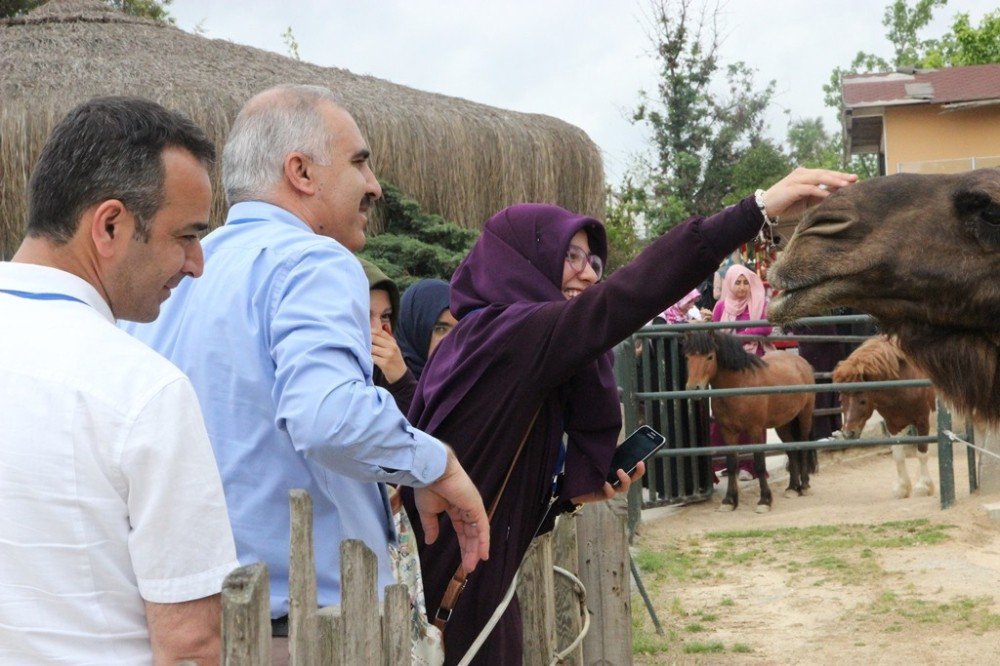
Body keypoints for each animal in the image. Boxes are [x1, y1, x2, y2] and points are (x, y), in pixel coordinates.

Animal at [684, 330, 816, 510]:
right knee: (792, 450)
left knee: (803, 447)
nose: (693, 387)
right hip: (783, 423)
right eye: (687, 357)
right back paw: (792, 488)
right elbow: (732, 464)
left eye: (709, 357)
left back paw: (805, 486)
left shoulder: (755, 430)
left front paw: (764, 500)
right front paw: (729, 500)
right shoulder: (728, 432)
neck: (739, 385)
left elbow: (759, 464)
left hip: (804, 417)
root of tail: (801, 362)